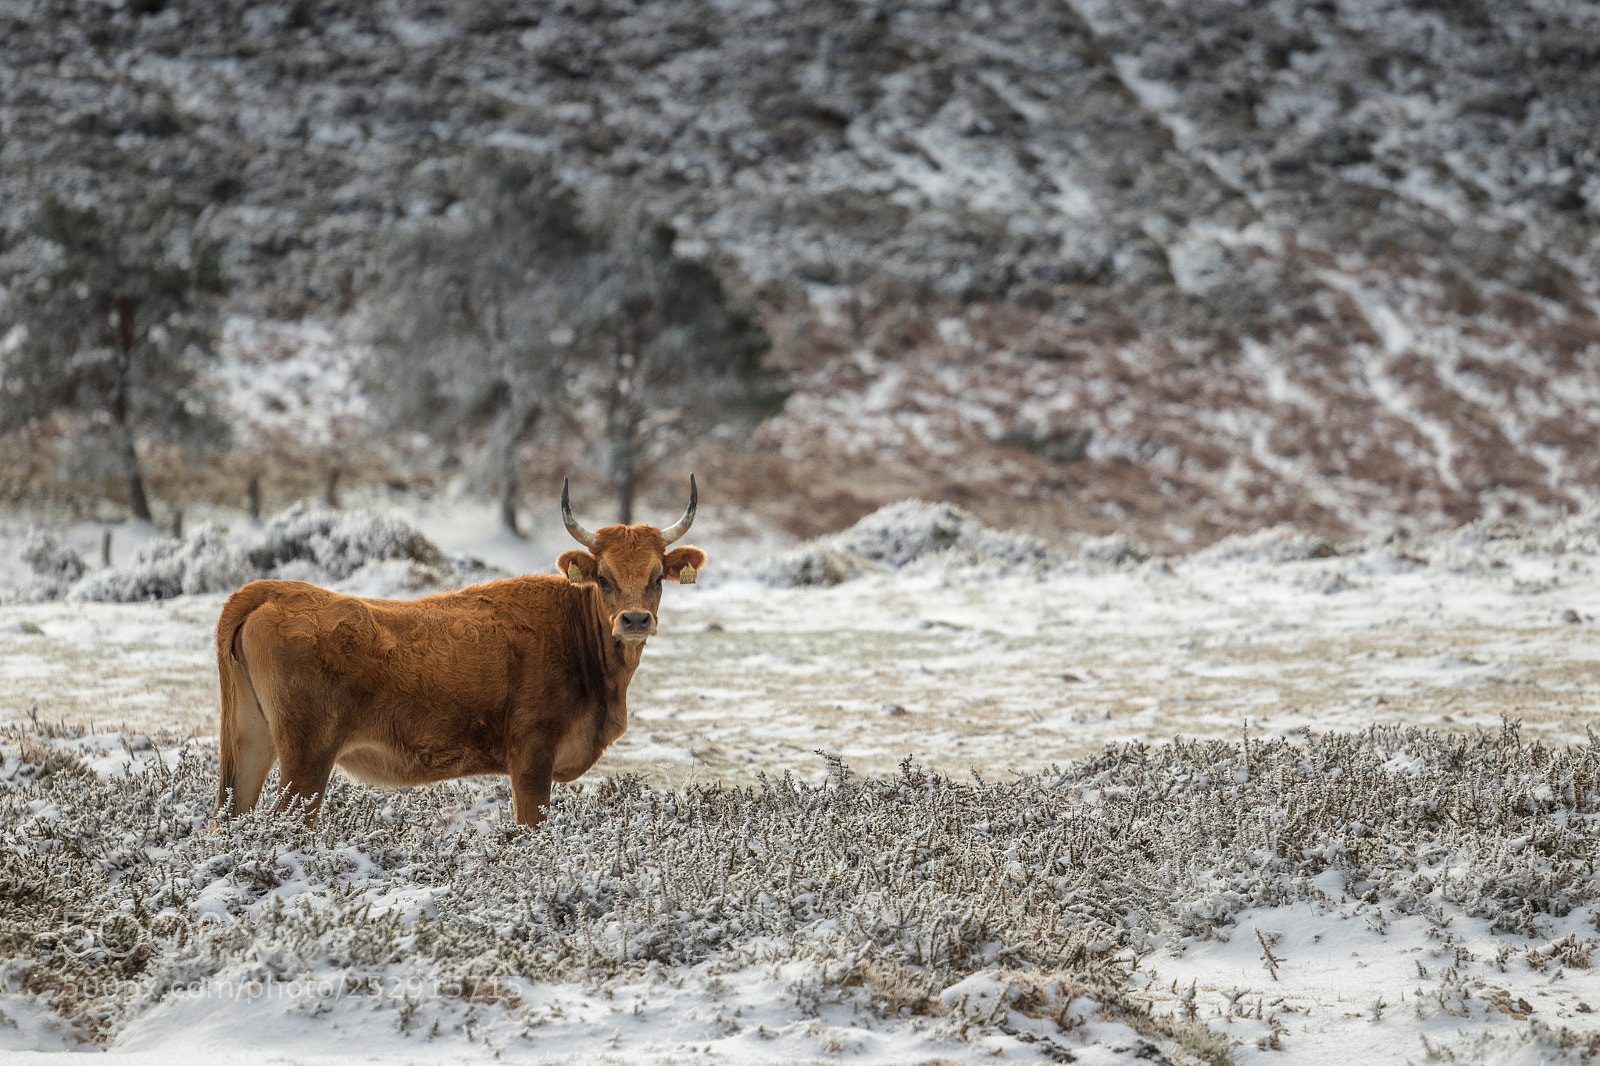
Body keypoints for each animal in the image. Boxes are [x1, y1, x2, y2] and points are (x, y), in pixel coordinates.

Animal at [211, 476, 705, 826]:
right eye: (603, 577)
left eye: (657, 576)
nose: (635, 620)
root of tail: (275, 590)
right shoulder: (531, 759)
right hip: (307, 759)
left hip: (252, 741)